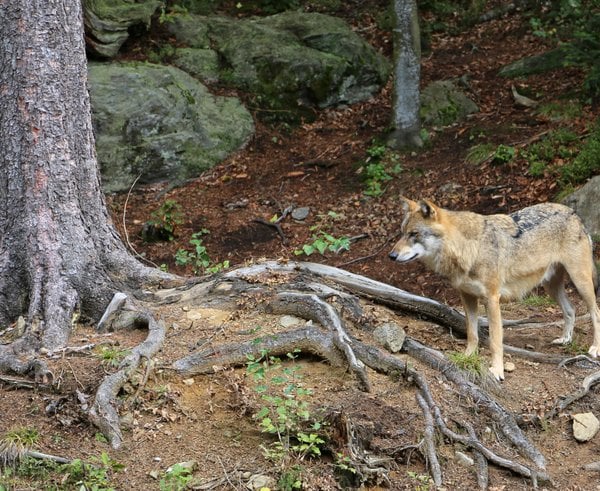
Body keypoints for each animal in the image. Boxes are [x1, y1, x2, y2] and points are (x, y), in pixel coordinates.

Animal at [390, 198, 600, 382]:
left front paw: (497, 371)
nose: (391, 255)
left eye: (413, 234)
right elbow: (472, 333)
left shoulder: (492, 299)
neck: (469, 248)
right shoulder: (467, 297)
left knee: (595, 312)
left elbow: (495, 341)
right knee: (571, 309)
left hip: (580, 282)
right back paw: (565, 339)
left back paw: (595, 348)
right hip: (551, 286)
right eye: (402, 233)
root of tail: (574, 213)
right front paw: (467, 358)